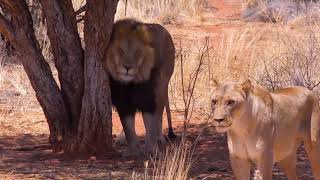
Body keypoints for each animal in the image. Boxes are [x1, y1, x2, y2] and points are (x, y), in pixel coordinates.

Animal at [103, 19, 175, 155]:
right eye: (121, 51)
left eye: (137, 52)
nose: (127, 67)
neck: (132, 83)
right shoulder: (123, 101)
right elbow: (128, 127)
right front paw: (134, 151)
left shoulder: (148, 99)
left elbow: (151, 124)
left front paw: (152, 149)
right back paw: (121, 139)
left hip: (162, 86)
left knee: (159, 112)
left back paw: (159, 138)